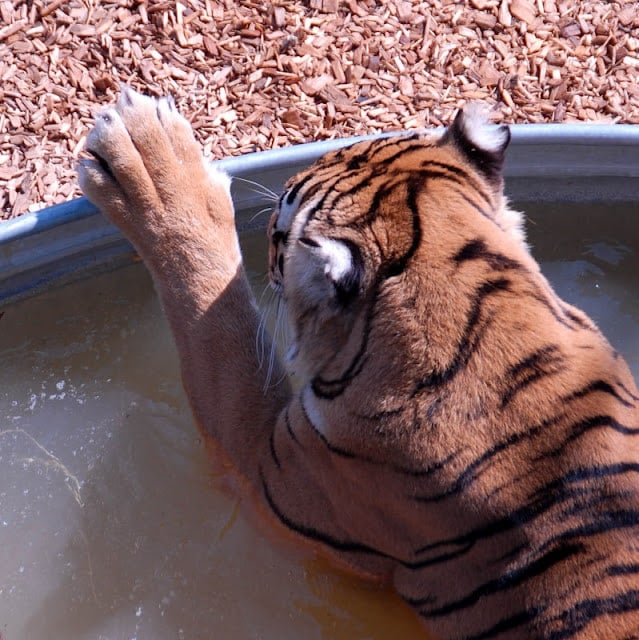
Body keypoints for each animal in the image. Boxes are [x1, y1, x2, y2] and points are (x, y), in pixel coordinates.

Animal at [79, 87, 639, 640]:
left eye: (280, 232)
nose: (266, 229)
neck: (472, 302)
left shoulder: (270, 473)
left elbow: (213, 313)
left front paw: (147, 152)